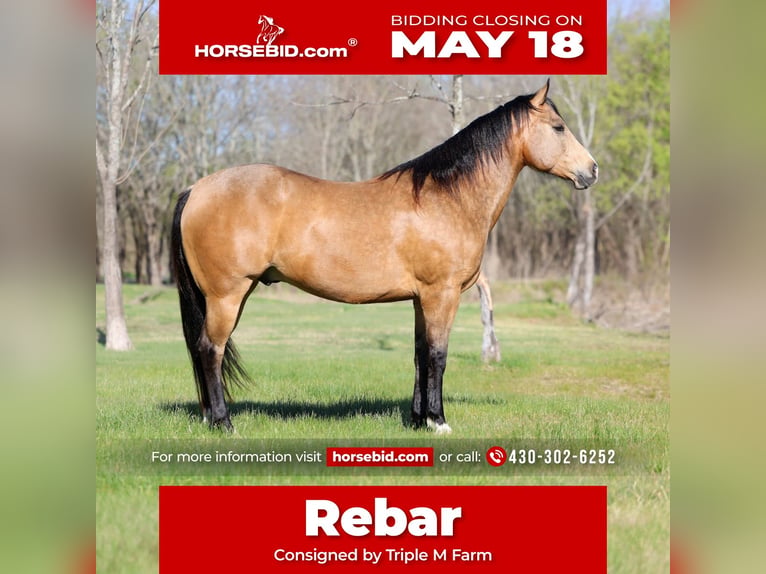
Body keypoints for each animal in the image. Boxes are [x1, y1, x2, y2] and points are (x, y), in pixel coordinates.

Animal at [171, 81, 597, 433]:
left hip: (232, 295)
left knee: (201, 348)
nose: (591, 170)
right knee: (210, 349)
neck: (446, 198)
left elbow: (420, 355)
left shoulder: (421, 299)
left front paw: (418, 420)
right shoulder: (442, 294)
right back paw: (223, 423)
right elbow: (438, 356)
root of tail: (196, 188)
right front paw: (439, 421)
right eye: (558, 127)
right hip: (227, 295)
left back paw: (210, 418)